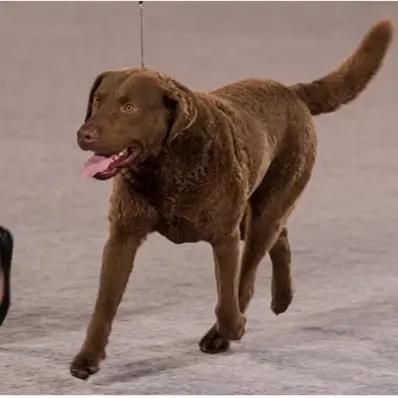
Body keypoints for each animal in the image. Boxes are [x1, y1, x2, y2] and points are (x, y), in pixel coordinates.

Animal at [70, 21, 392, 380]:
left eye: (129, 108)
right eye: (98, 101)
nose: (84, 134)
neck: (166, 165)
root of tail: (292, 91)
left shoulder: (223, 238)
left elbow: (227, 298)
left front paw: (232, 329)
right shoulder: (122, 237)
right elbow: (104, 305)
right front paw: (87, 358)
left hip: (264, 209)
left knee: (249, 275)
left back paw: (224, 332)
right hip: (252, 214)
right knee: (280, 239)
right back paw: (282, 299)